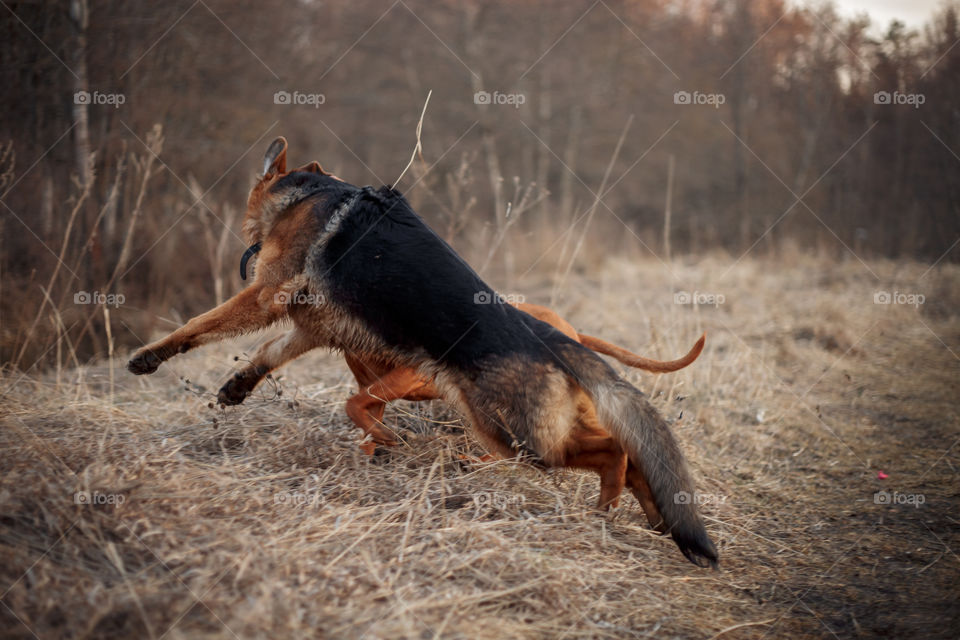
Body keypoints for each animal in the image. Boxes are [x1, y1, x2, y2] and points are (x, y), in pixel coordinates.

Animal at [131, 136, 720, 564]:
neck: (311, 193)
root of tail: (555, 335)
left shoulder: (265, 294)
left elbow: (200, 324)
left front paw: (150, 357)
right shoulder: (309, 329)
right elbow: (270, 355)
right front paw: (238, 387)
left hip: (515, 436)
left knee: (613, 451)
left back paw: (608, 508)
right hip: (526, 430)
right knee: (631, 452)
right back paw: (652, 517)